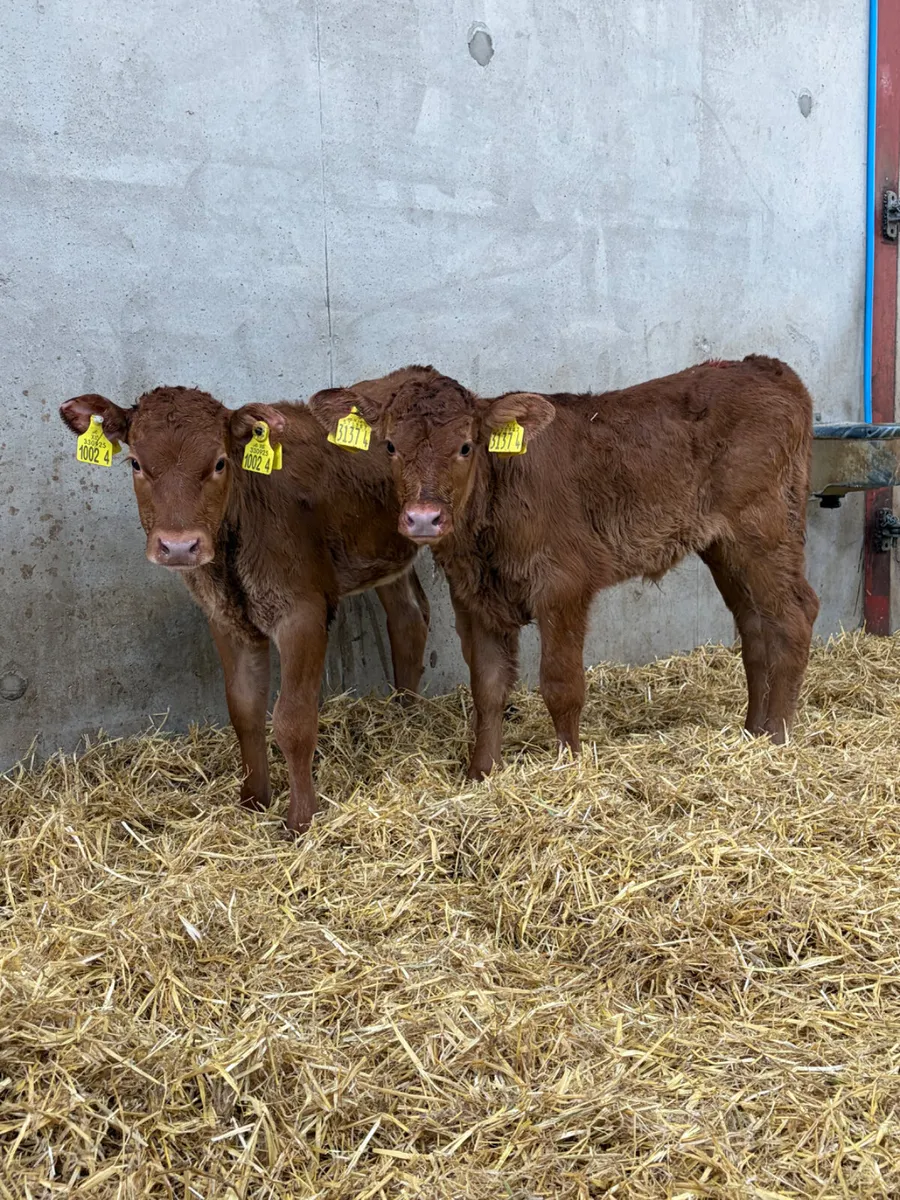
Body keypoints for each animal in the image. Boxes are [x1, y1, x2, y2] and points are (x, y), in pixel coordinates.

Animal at [59, 387, 430, 834]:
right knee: (408, 618)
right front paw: (253, 801)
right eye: (135, 463)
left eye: (220, 462)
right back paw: (405, 718)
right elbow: (244, 710)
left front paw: (300, 821)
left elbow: (293, 720)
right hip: (388, 557)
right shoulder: (227, 619)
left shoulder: (303, 614)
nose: (179, 546)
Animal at [308, 357, 819, 779]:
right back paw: (752, 732)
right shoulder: (472, 597)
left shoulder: (564, 585)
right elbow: (487, 687)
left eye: (466, 447)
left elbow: (561, 684)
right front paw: (481, 773)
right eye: (390, 446)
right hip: (723, 545)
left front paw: (568, 766)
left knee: (794, 615)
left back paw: (778, 738)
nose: (422, 518)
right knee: (755, 626)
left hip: (764, 528)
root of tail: (763, 366)